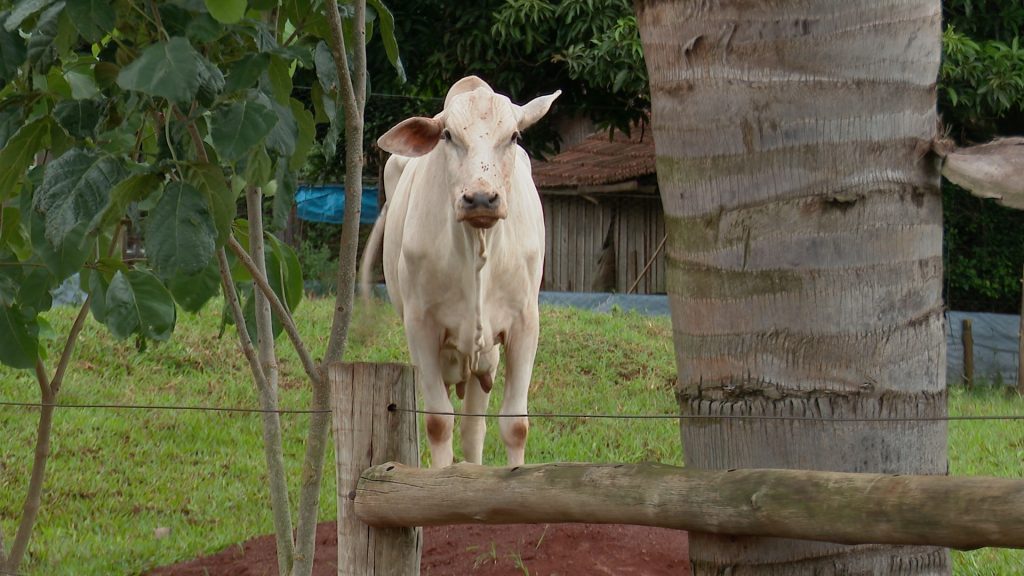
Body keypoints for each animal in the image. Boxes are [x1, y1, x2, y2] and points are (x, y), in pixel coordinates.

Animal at [360, 76, 559, 468]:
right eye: (448, 135)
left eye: (514, 136)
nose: (481, 198)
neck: (477, 249)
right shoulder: (421, 326)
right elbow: (439, 422)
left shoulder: (524, 323)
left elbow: (515, 424)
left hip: (485, 358)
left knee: (473, 426)